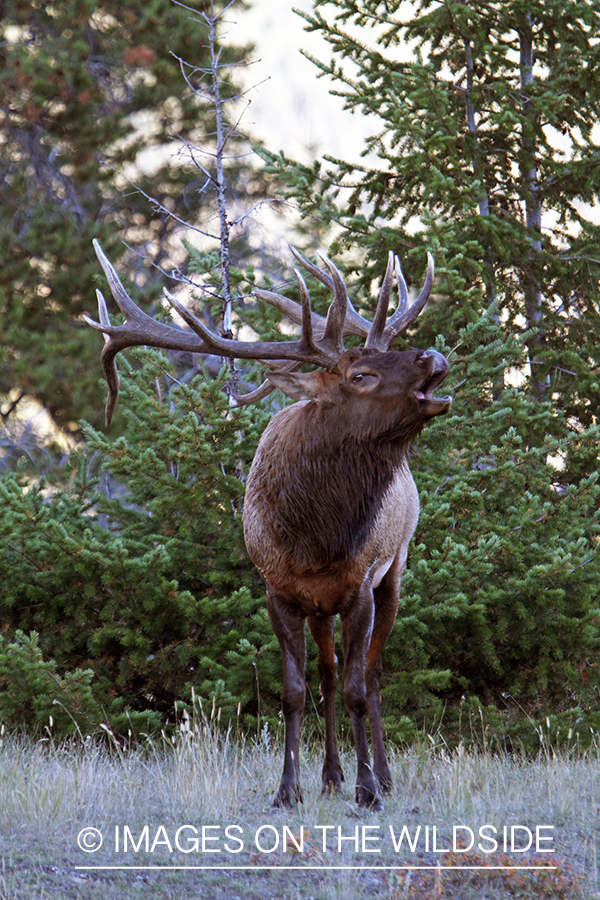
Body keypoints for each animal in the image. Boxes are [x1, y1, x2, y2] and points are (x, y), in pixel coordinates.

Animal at [84, 239, 450, 808]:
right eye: (359, 376)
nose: (433, 355)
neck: (316, 537)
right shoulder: (278, 590)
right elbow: (294, 691)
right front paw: (288, 790)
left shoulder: (361, 585)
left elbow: (358, 689)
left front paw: (368, 790)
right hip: (323, 606)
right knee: (327, 674)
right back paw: (330, 775)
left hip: (396, 567)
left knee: (372, 674)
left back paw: (382, 775)